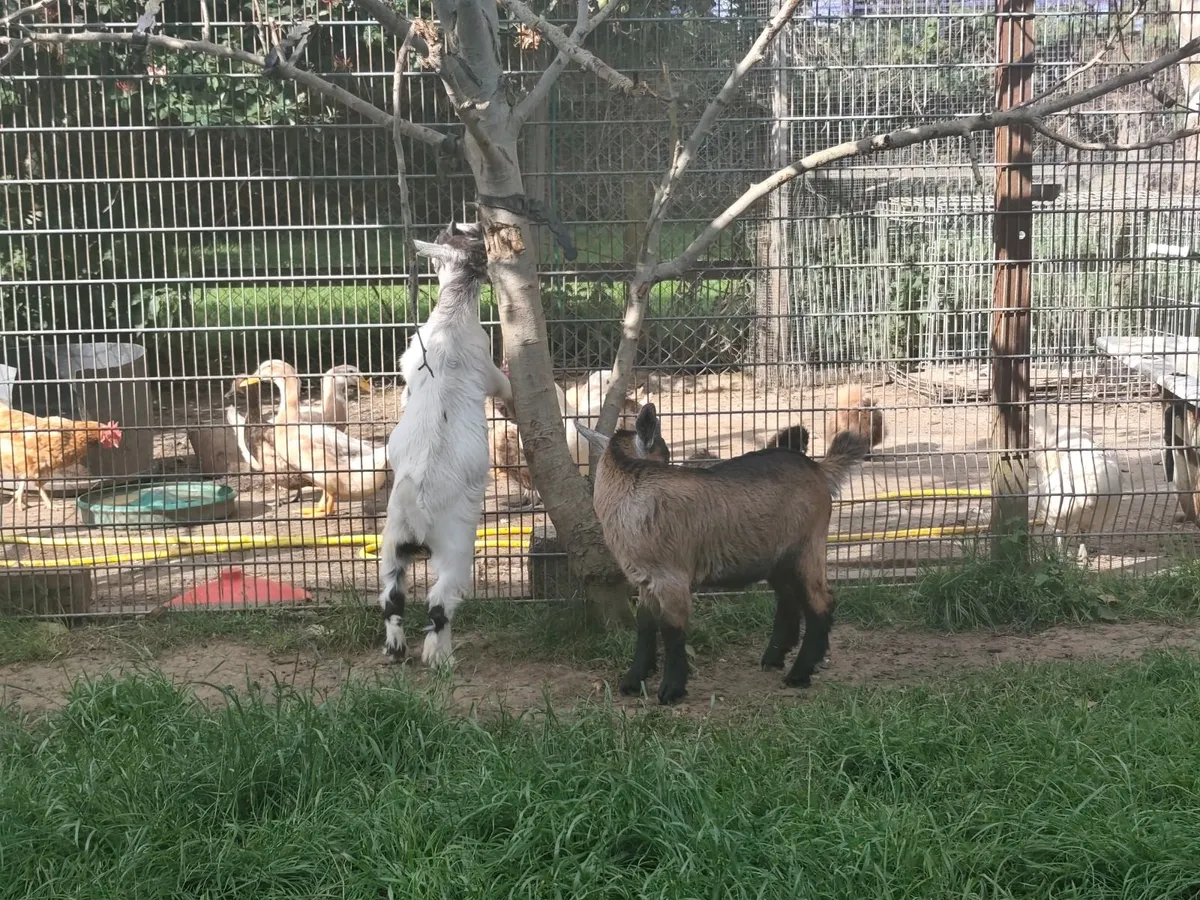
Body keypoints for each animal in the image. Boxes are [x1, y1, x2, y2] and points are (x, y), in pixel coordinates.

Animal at [376, 221, 512, 667]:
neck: (452, 317)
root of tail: (416, 507)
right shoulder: (489, 368)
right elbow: (505, 387)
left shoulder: (408, 361)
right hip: (455, 547)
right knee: (439, 604)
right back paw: (440, 657)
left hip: (391, 544)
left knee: (392, 598)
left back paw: (396, 648)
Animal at [576, 404, 870, 705]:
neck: (630, 489)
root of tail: (819, 469)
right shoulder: (645, 580)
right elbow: (645, 626)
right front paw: (633, 680)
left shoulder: (672, 578)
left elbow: (672, 630)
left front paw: (671, 689)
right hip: (776, 557)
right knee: (789, 599)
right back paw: (774, 657)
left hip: (806, 547)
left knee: (821, 602)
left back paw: (800, 673)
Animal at [1030, 407, 1123, 567]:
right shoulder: (1056, 513)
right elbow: (1060, 535)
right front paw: (1062, 557)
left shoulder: (1093, 517)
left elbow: (1083, 535)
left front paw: (1084, 557)